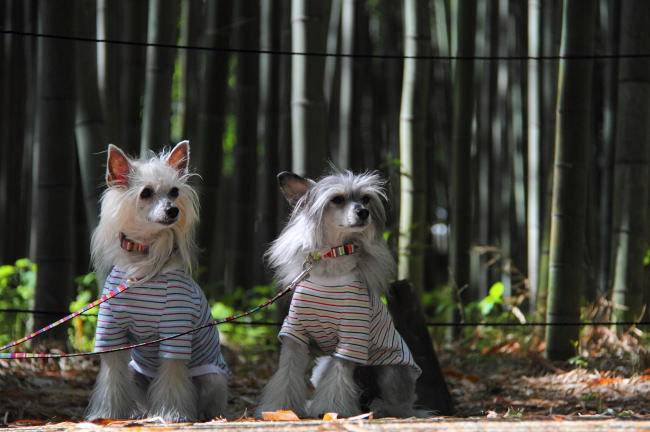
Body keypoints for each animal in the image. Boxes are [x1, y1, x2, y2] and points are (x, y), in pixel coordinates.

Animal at [86, 141, 228, 422]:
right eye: (146, 193)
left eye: (174, 192)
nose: (173, 210)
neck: (144, 257)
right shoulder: (111, 331)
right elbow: (112, 379)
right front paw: (108, 414)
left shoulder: (175, 331)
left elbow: (172, 378)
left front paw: (172, 415)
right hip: (135, 372)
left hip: (212, 377)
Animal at [256, 170, 422, 418]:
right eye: (337, 199)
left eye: (365, 199)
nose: (363, 212)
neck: (332, 258)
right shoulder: (294, 334)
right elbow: (286, 375)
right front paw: (280, 408)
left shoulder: (352, 337)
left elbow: (338, 380)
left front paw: (330, 410)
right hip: (321, 367)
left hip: (391, 371)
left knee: (398, 404)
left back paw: (380, 408)